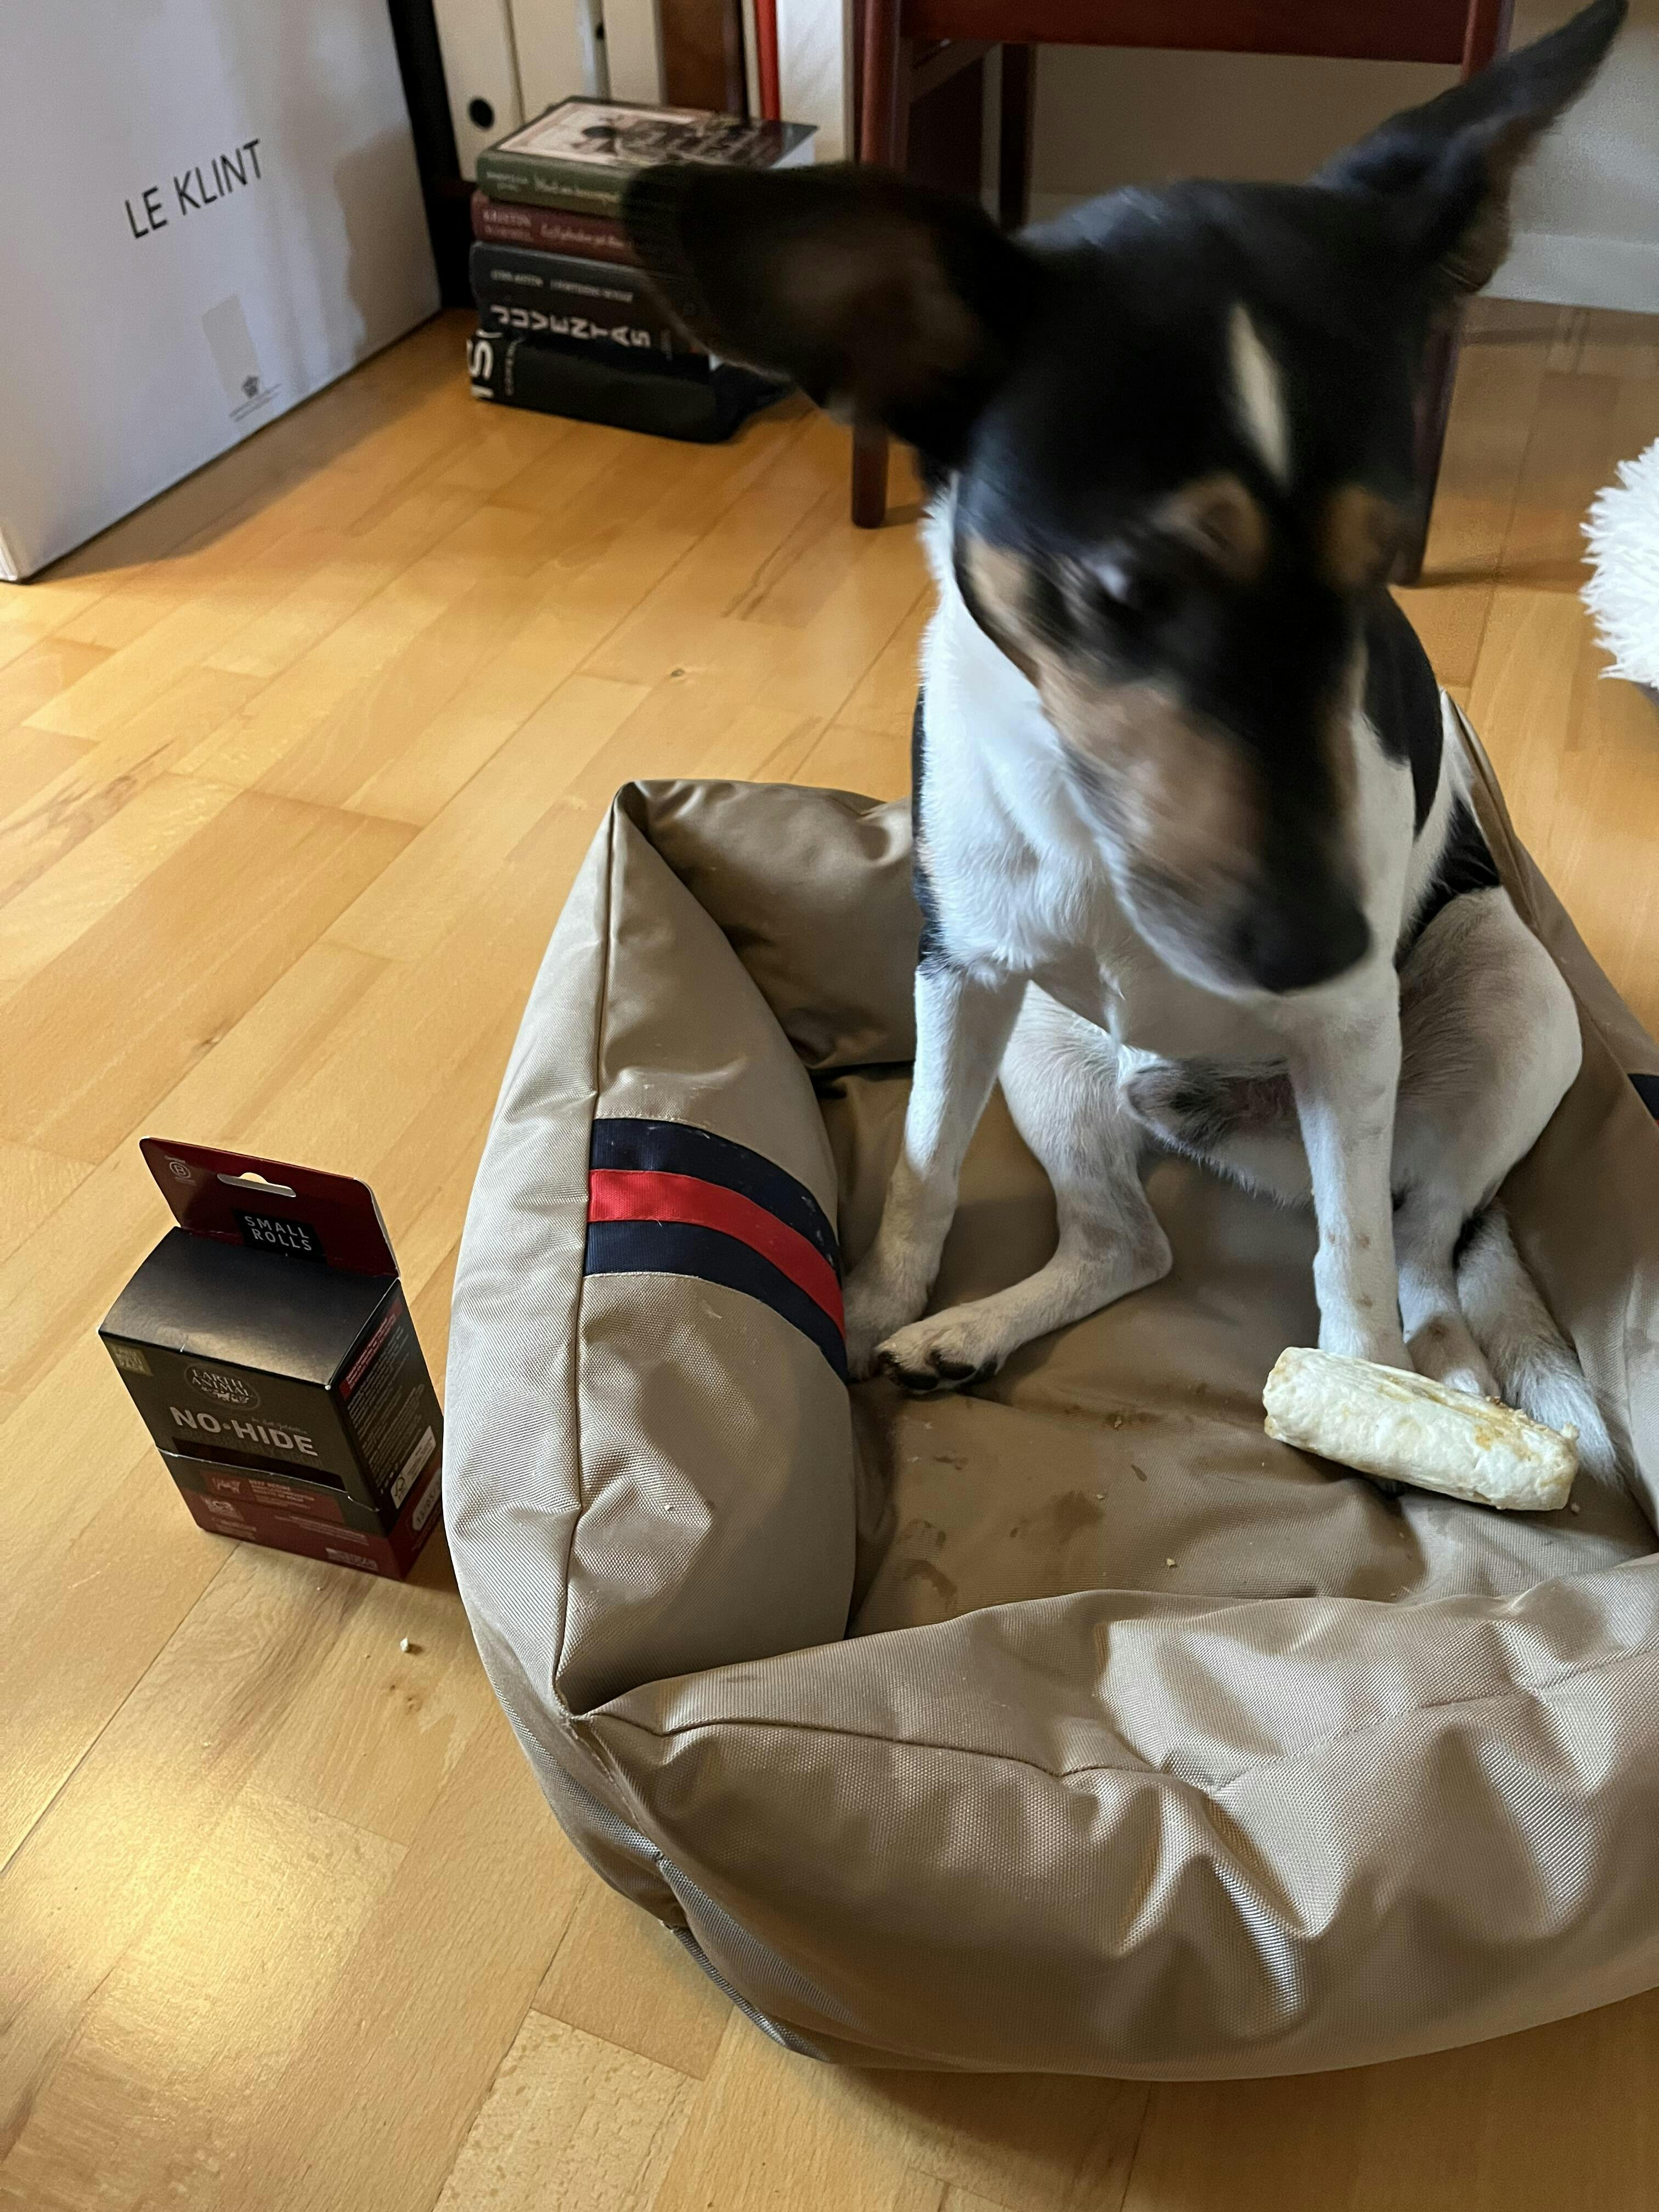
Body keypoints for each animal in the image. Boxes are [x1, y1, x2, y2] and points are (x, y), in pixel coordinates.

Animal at [624, 0, 1627, 1473]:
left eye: (1380, 569)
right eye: (1124, 592)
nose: (1322, 945)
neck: (1099, 834)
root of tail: (1235, 1131)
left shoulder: (1352, 1037)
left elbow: (1355, 1272)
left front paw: (1358, 1397)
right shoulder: (962, 977)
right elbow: (922, 1174)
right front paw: (874, 1310)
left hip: (1504, 999)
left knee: (1422, 1257)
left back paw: (1430, 1395)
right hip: (1054, 1055)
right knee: (1129, 1246)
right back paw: (968, 1332)